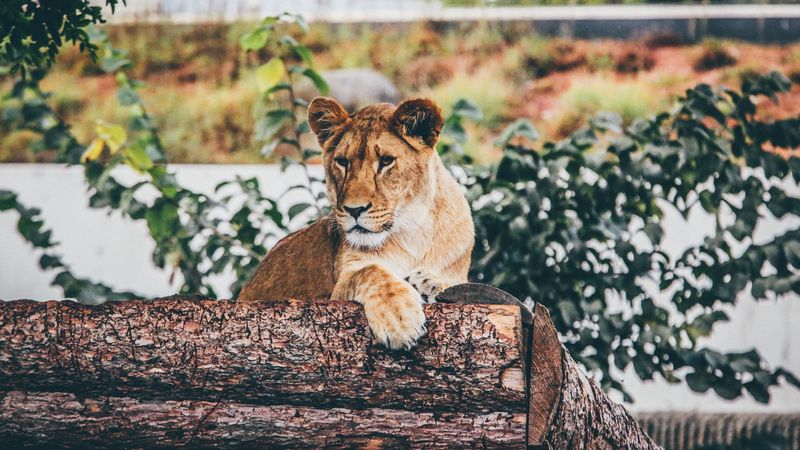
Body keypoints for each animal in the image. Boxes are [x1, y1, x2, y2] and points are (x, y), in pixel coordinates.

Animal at [238, 97, 475, 350]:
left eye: (386, 161)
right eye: (342, 162)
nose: (354, 209)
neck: (413, 229)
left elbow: (457, 284)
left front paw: (430, 282)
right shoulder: (339, 286)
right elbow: (371, 271)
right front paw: (400, 319)